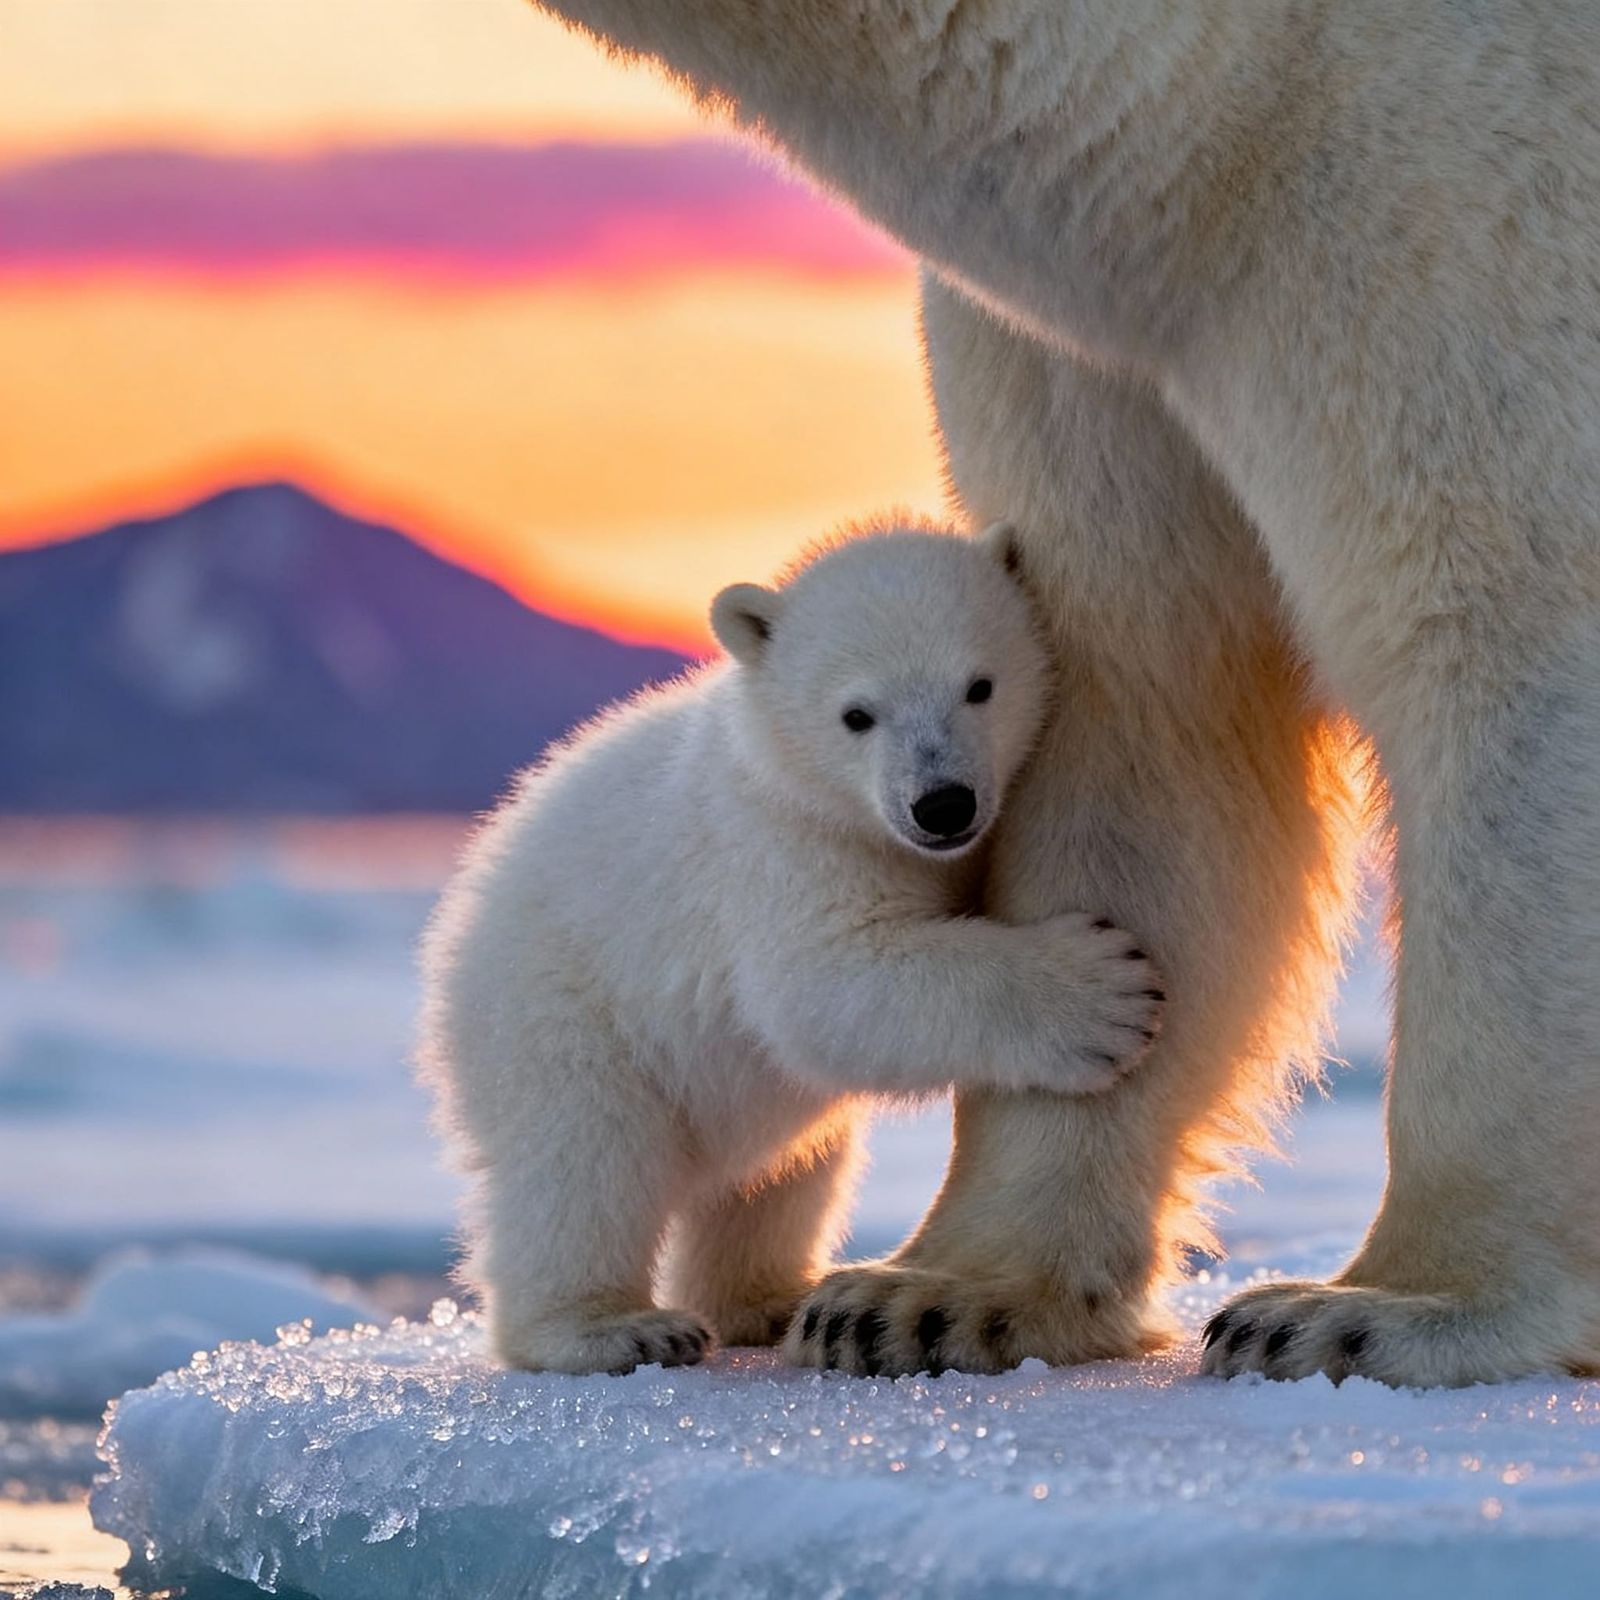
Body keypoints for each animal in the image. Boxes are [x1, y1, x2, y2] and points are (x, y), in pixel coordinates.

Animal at [419, 520, 1164, 1375]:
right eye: (857, 714)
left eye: (980, 685)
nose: (942, 805)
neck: (784, 764)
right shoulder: (779, 852)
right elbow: (822, 985)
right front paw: (1105, 997)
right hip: (560, 1015)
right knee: (585, 1160)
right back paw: (610, 1327)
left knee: (785, 1177)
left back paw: (772, 1298)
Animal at [528, 0, 1600, 1386]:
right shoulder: (1103, 348)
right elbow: (1149, 695)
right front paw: (926, 1293)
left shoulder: (1462, 202)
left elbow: (1503, 622)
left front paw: (1369, 1308)